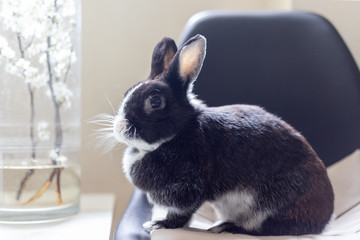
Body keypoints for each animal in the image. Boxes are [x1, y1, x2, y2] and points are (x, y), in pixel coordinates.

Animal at [111, 34, 334, 235]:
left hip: (275, 204)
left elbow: (180, 215)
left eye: (155, 102)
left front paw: (158, 225)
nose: (120, 127)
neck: (177, 133)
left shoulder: (187, 190)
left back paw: (225, 227)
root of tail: (324, 220)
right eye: (127, 93)